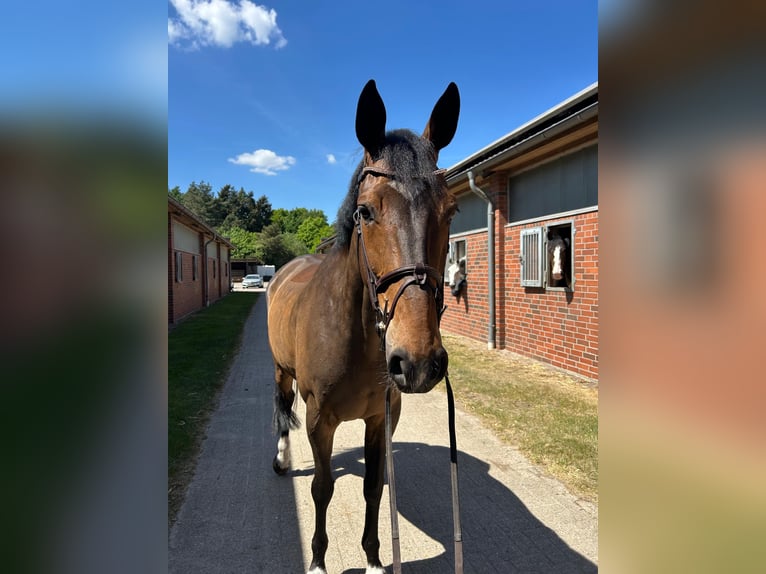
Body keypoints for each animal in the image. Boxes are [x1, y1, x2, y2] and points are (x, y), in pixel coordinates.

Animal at [266, 79, 460, 574]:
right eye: (367, 211)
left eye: (450, 211)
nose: (417, 362)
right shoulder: (319, 420)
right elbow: (322, 488)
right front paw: (317, 562)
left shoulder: (380, 420)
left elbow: (374, 487)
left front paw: (373, 558)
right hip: (281, 370)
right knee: (280, 408)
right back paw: (280, 459)